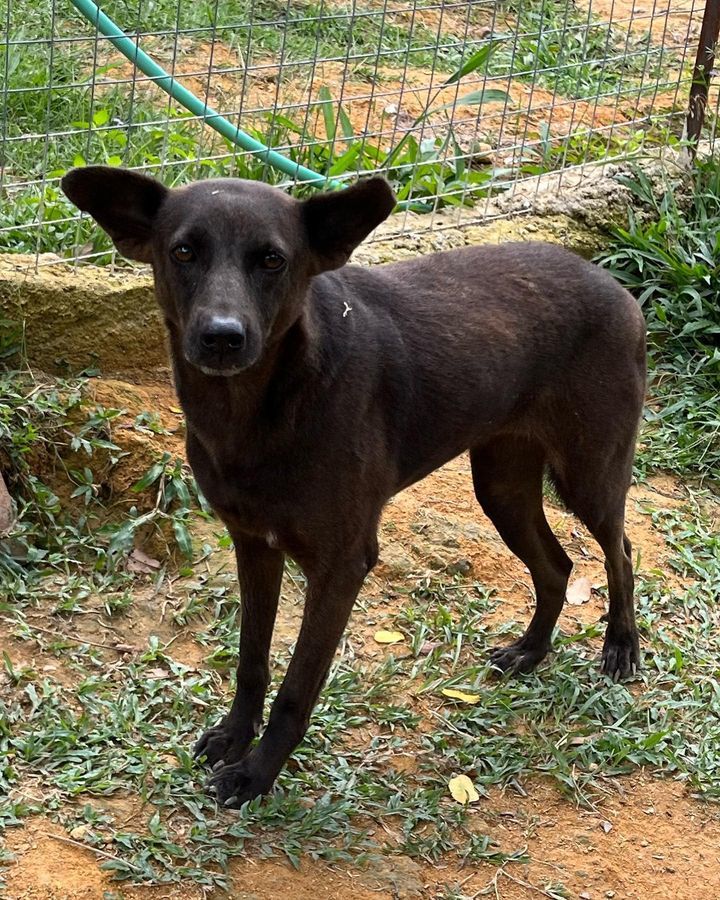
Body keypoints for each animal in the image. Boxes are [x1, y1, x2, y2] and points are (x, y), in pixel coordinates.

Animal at [62, 165, 648, 804]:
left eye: (272, 260)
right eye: (184, 251)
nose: (222, 337)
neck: (261, 408)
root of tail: (614, 285)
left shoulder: (342, 565)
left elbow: (296, 688)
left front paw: (256, 774)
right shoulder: (253, 546)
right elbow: (251, 660)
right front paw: (235, 736)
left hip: (588, 474)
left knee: (620, 550)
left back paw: (621, 647)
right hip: (502, 486)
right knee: (557, 566)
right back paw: (531, 651)